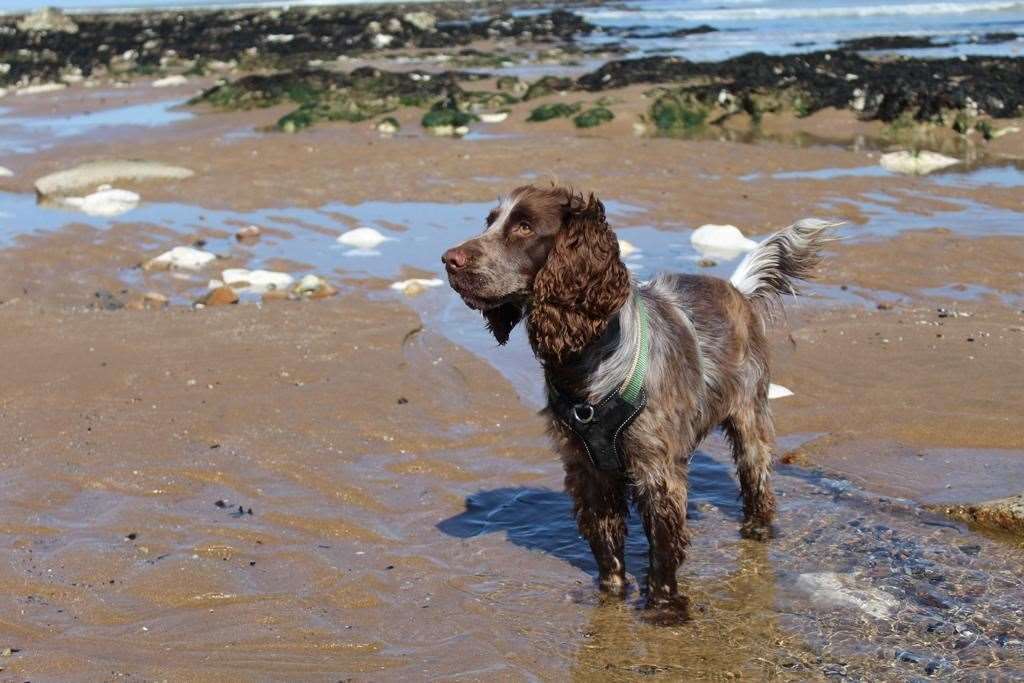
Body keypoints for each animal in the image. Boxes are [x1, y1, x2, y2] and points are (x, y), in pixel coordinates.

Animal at [440, 185, 831, 614]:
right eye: (490, 222)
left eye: (525, 226)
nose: (448, 259)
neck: (586, 369)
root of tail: (737, 290)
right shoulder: (587, 469)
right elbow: (606, 544)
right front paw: (611, 595)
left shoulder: (656, 469)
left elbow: (662, 545)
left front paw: (663, 606)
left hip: (749, 417)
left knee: (757, 480)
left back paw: (758, 530)